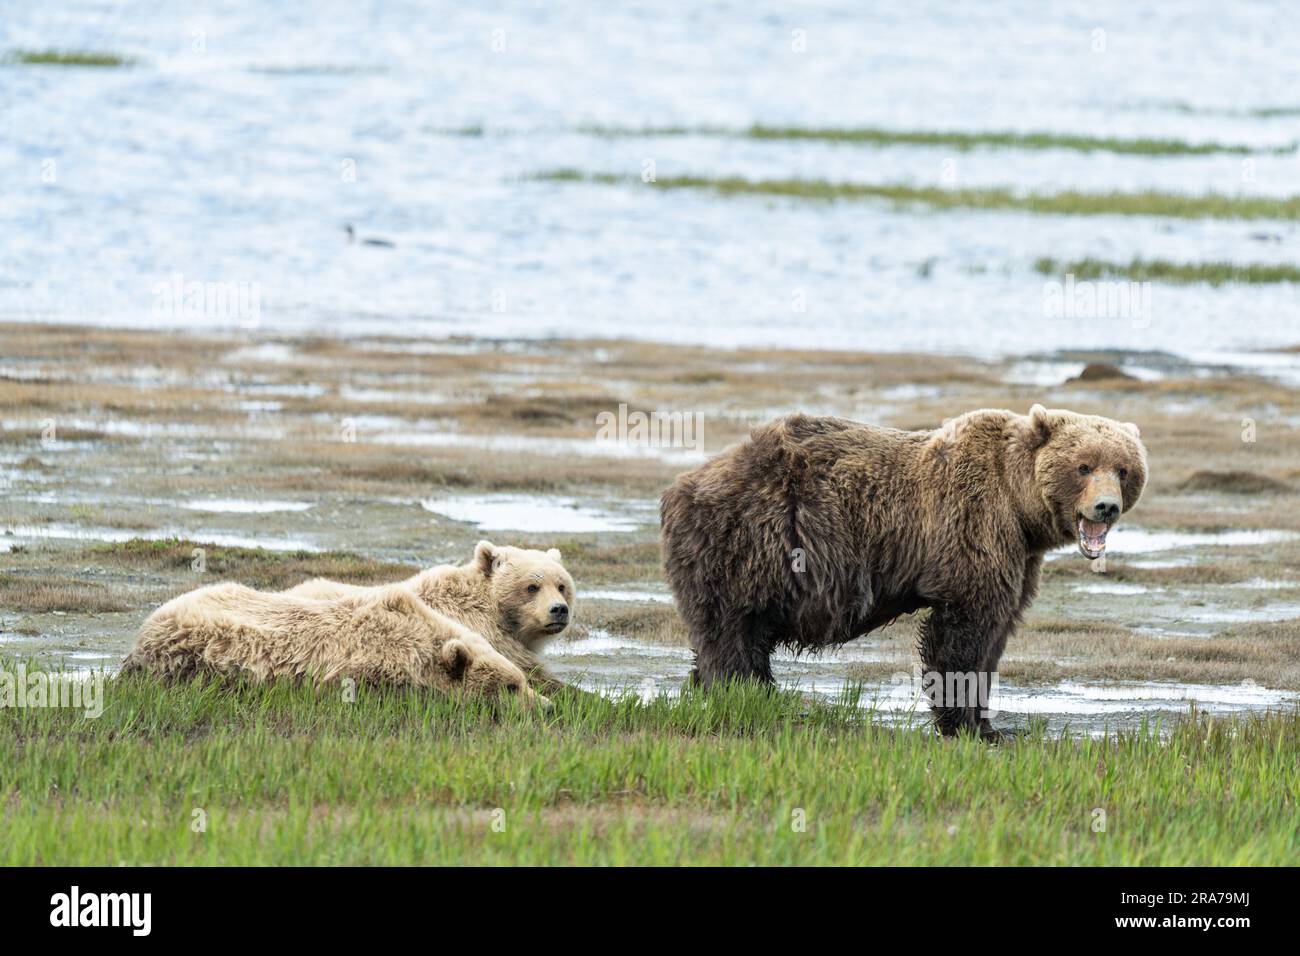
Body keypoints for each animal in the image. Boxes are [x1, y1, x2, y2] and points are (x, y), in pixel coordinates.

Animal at [660, 403, 1149, 738]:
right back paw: (745, 698)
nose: (1106, 507)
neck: (1019, 506)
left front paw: (990, 725)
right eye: (1083, 466)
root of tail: (682, 486)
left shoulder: (1020, 556)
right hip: (750, 542)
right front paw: (964, 724)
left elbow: (997, 633)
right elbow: (962, 633)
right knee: (733, 634)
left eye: (1123, 468)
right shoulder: (971, 529)